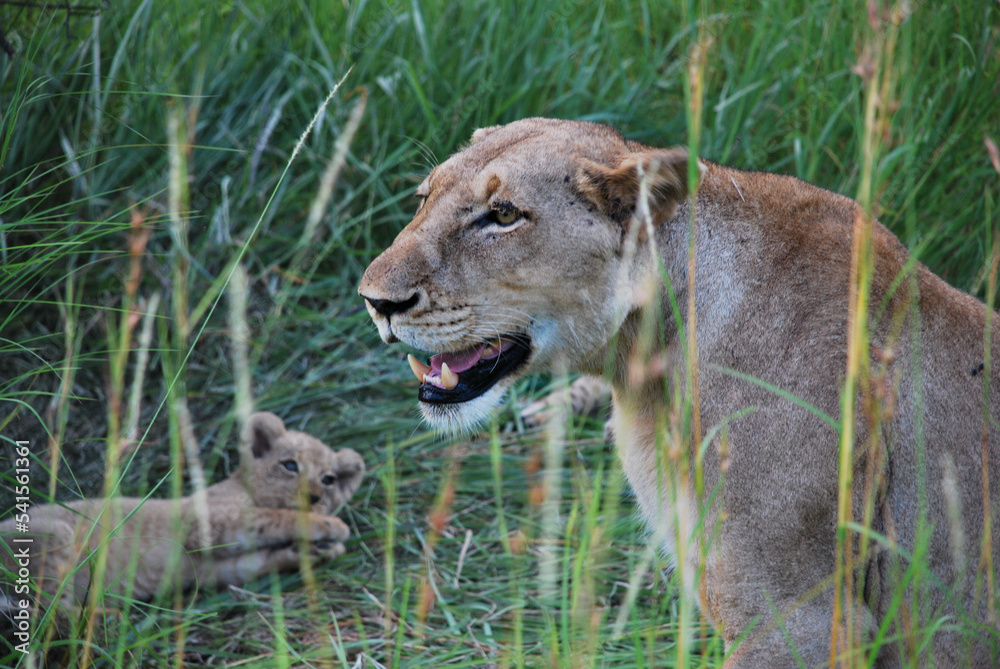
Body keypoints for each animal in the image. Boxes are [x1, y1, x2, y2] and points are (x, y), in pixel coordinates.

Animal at [0, 412, 365, 610]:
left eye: (329, 479)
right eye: (290, 465)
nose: (315, 497)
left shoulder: (217, 569)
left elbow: (258, 561)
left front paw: (316, 551)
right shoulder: (205, 522)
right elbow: (277, 517)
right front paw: (329, 526)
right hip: (52, 535)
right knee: (49, 617)